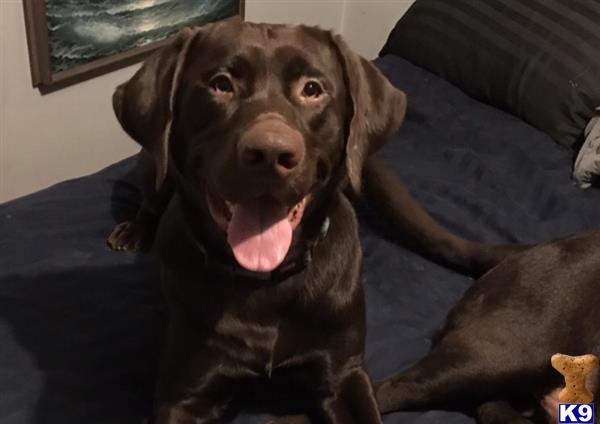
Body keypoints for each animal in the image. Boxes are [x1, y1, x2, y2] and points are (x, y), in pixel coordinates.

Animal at [109, 17, 524, 424]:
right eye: (221, 84)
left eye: (312, 89)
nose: (271, 153)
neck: (266, 283)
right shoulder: (185, 394)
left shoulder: (344, 374)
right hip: (154, 164)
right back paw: (133, 231)